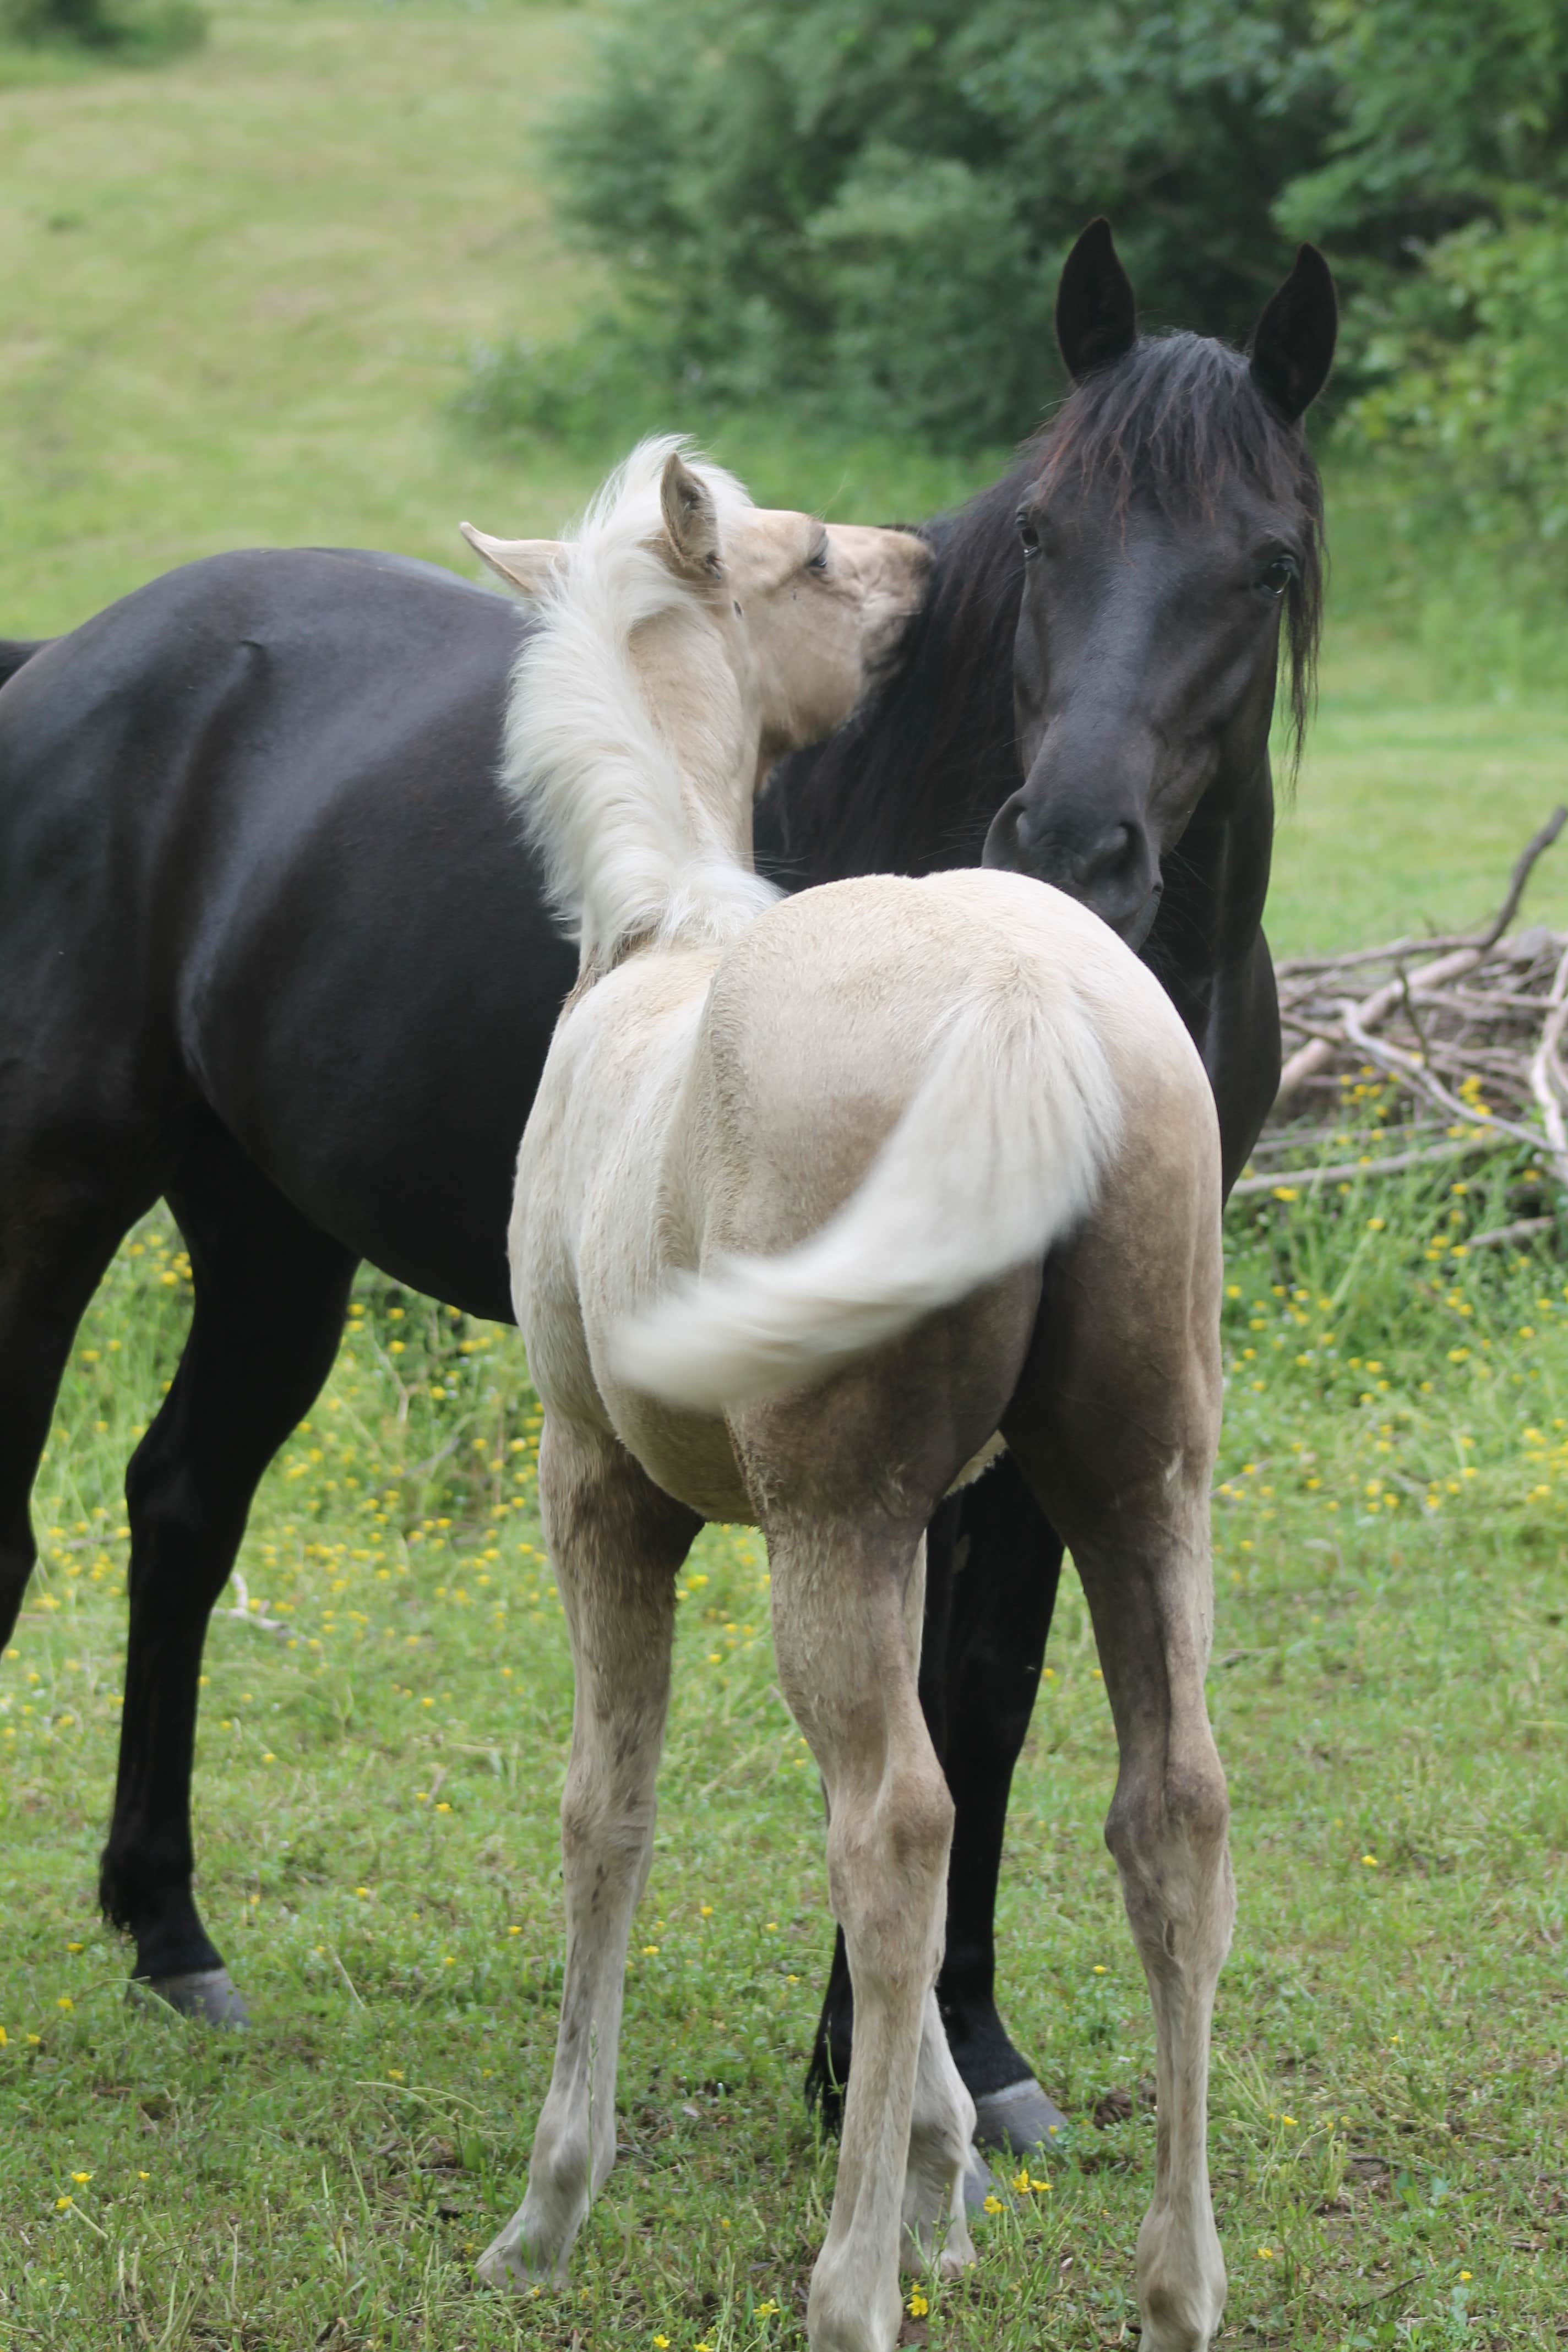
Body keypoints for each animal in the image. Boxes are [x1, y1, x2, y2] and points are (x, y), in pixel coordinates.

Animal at [0, 220, 1333, 2147]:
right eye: (1041, 537)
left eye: (1268, 559)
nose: (1076, 844)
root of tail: (67, 661)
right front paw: (871, 2062)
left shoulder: (1068, 1414)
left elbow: (990, 1692)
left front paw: (970, 2047)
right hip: (55, 1193)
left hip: (270, 1237)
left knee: (181, 1505)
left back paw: (169, 1927)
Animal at [473, 438, 1228, 2352]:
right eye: (814, 559)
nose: (914, 562)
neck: (657, 941)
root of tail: (1025, 993)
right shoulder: (951, 1514)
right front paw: (951, 2187)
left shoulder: (600, 1491)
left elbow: (607, 1807)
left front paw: (549, 2210)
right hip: (1134, 1489)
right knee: (1171, 1815)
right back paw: (1174, 2286)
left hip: (830, 1526)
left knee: (890, 1829)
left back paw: (847, 2287)